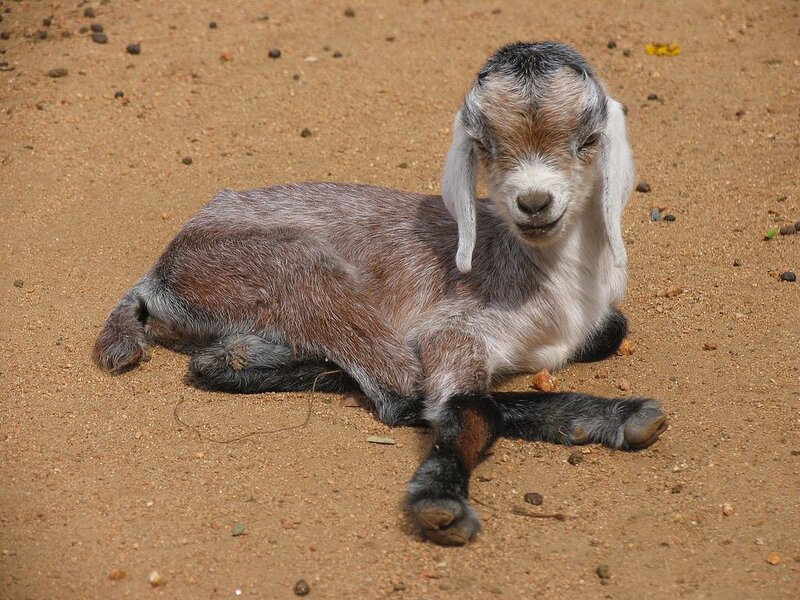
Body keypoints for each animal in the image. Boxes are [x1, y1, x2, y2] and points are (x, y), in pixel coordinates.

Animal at [93, 41, 667, 546]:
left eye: (588, 140)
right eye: (485, 147)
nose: (534, 202)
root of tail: (161, 266)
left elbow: (612, 330)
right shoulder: (453, 327)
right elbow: (467, 406)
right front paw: (442, 504)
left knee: (221, 364)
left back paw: (249, 353)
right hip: (298, 268)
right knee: (401, 390)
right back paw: (618, 415)